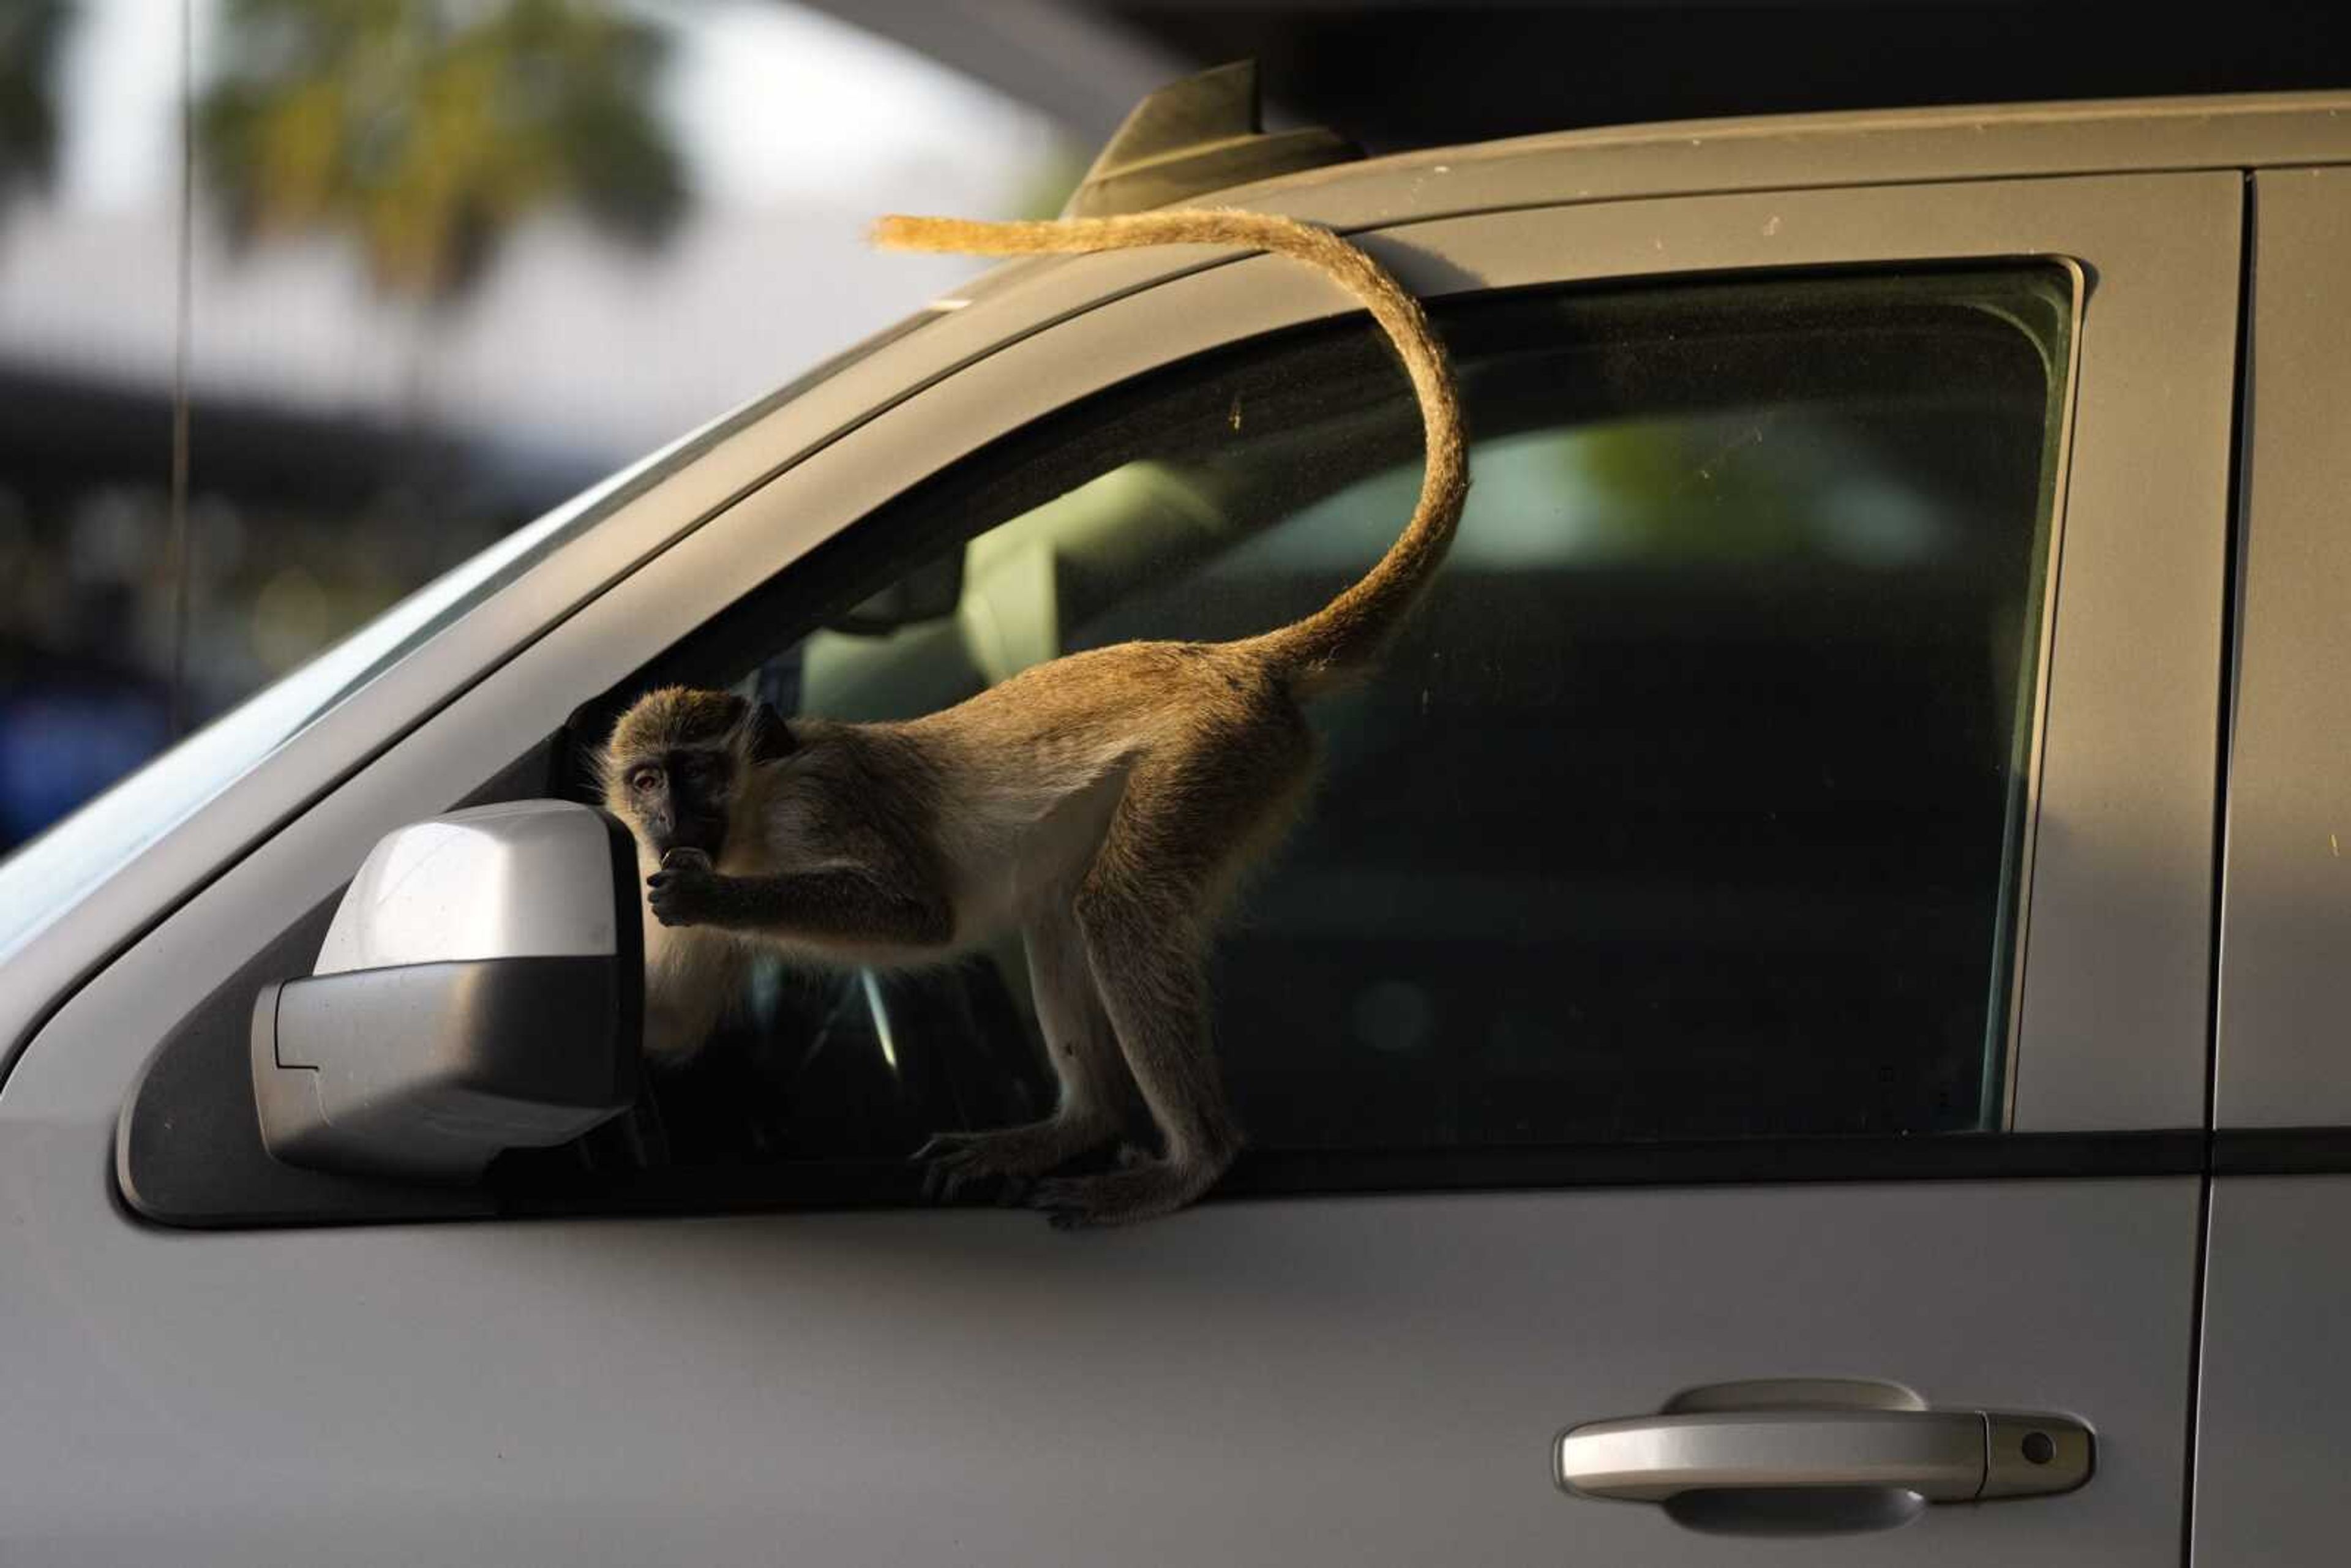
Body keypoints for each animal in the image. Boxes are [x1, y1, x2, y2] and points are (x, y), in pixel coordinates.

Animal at [597, 205, 1457, 1222]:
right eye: (645, 780)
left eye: (694, 770)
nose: (668, 823)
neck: (757, 817)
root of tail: (1228, 657)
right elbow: (674, 1023)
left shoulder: (821, 800)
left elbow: (918, 910)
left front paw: (711, 894)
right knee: (1059, 909)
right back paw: (1076, 1126)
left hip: (1215, 756)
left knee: (1117, 908)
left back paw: (1193, 1160)